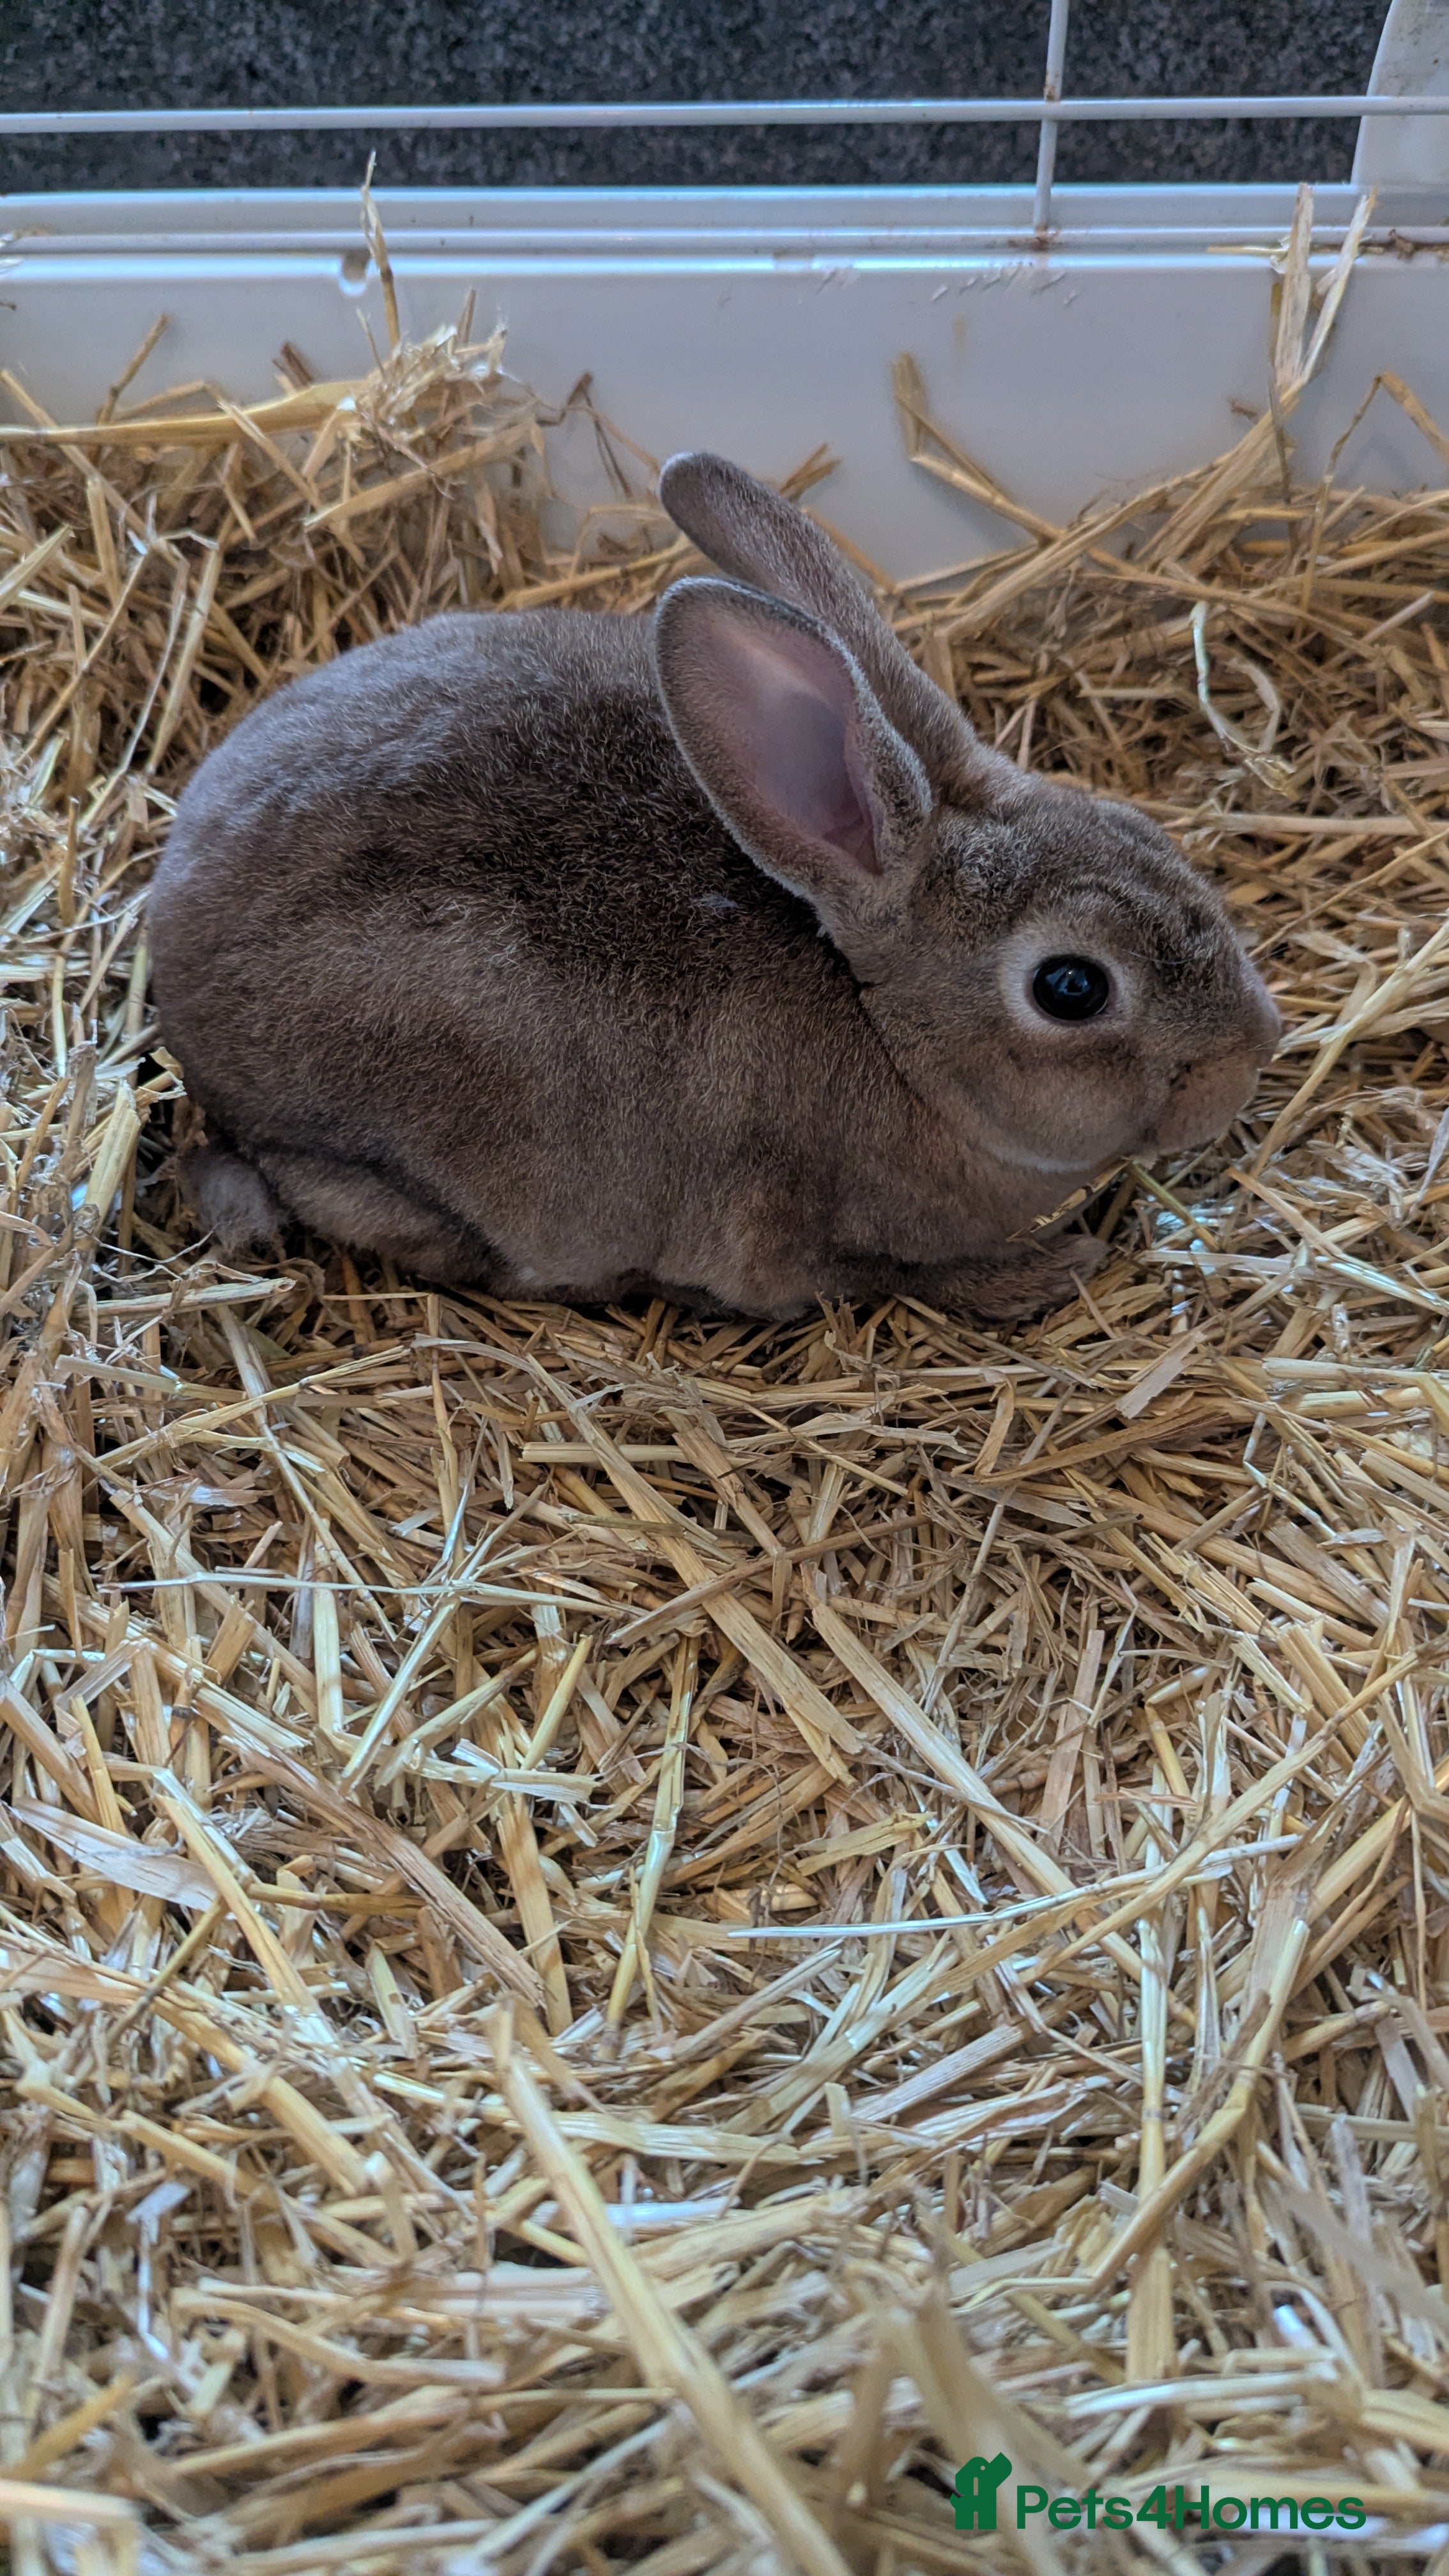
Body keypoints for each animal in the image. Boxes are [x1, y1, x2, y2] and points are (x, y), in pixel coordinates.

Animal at [148, 450, 1281, 1323]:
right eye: (1072, 988)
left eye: (1142, 830)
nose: (1255, 1051)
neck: (893, 1037)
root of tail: (170, 969)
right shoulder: (785, 1240)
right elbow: (885, 1279)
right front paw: (1049, 1270)